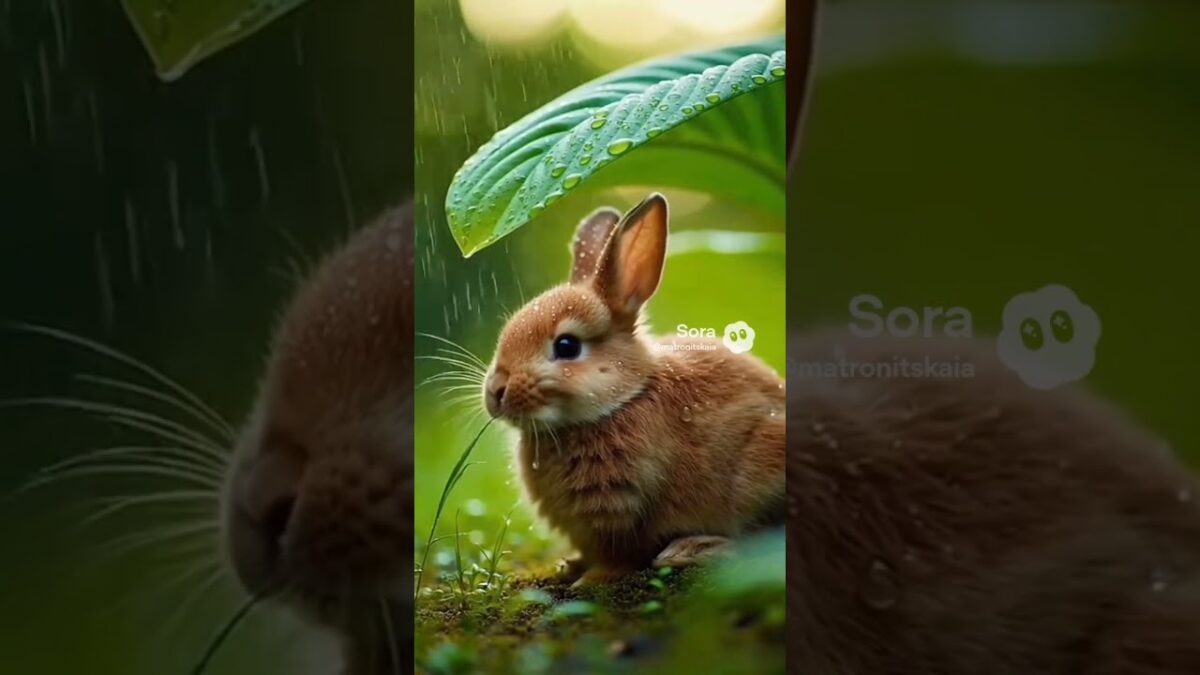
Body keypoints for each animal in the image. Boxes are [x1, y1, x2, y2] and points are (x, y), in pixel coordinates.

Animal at [482, 193, 786, 584]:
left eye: (567, 346)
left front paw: (589, 579)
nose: (495, 393)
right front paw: (571, 565)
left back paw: (693, 550)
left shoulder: (623, 510)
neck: (624, 399)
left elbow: (619, 557)